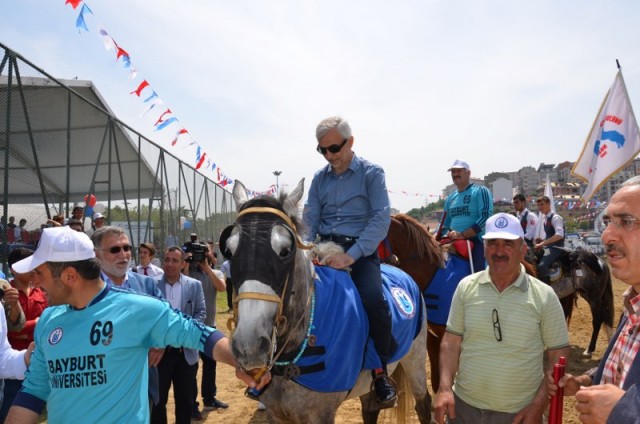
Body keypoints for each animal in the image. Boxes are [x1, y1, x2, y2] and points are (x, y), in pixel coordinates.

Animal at [222, 180, 432, 424]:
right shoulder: (276, 414)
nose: (249, 346)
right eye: (228, 251)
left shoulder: (320, 415)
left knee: (423, 404)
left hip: (415, 358)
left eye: (285, 250)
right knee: (370, 408)